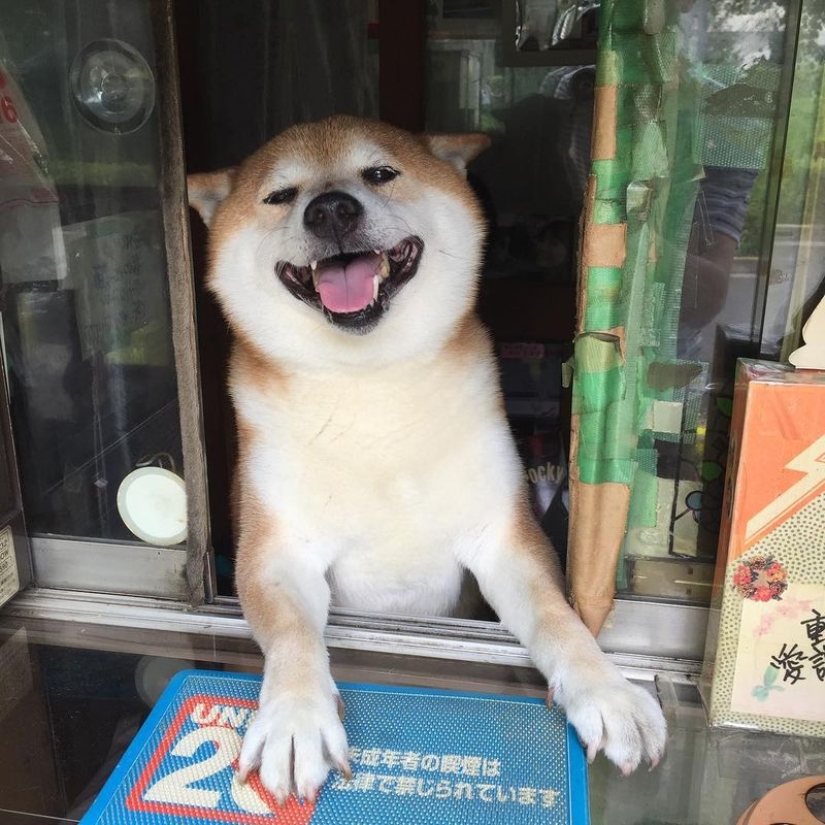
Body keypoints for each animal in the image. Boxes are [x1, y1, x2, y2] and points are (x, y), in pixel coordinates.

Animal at [190, 116, 668, 804]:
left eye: (380, 173)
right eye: (280, 195)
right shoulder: (276, 551)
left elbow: (558, 619)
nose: (331, 209)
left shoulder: (501, 538)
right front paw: (294, 719)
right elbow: (292, 634)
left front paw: (607, 691)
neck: (371, 387)